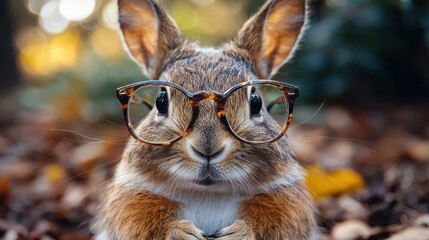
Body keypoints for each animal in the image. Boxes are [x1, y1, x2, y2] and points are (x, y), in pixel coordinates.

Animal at [93, 0, 318, 239]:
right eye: (161, 101)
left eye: (256, 102)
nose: (208, 148)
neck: (208, 192)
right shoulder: (130, 198)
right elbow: (139, 217)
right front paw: (181, 233)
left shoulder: (287, 198)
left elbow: (280, 218)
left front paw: (238, 233)